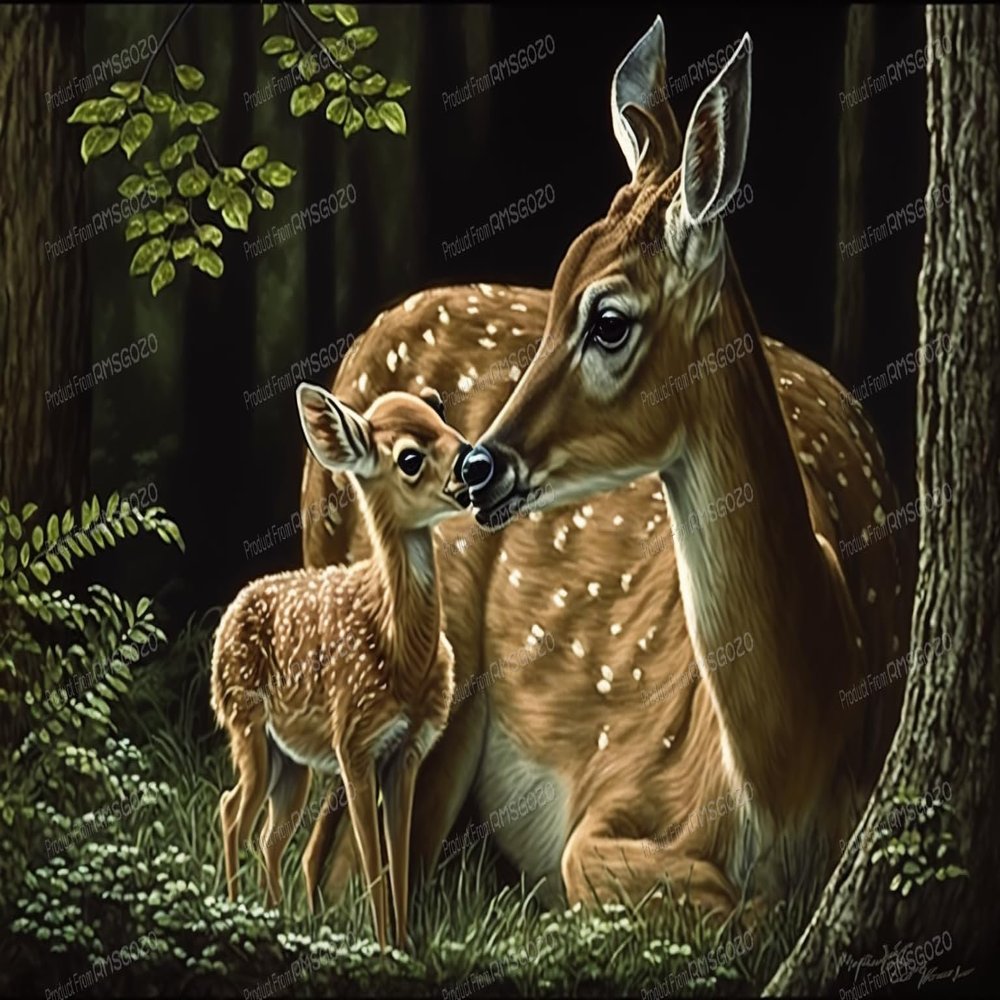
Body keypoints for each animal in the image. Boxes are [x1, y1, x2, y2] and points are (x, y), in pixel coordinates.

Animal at [211, 382, 472, 949]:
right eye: (410, 458)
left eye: (449, 424)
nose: (474, 462)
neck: (402, 654)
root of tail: (231, 609)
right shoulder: (353, 743)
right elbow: (372, 858)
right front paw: (382, 947)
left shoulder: (408, 749)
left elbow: (398, 855)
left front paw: (404, 945)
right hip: (246, 722)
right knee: (232, 811)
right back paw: (236, 911)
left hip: (294, 763)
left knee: (271, 833)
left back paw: (277, 916)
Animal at [295, 18, 912, 921]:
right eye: (553, 293)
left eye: (609, 320)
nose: (477, 467)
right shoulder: (616, 783)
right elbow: (654, 884)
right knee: (341, 862)